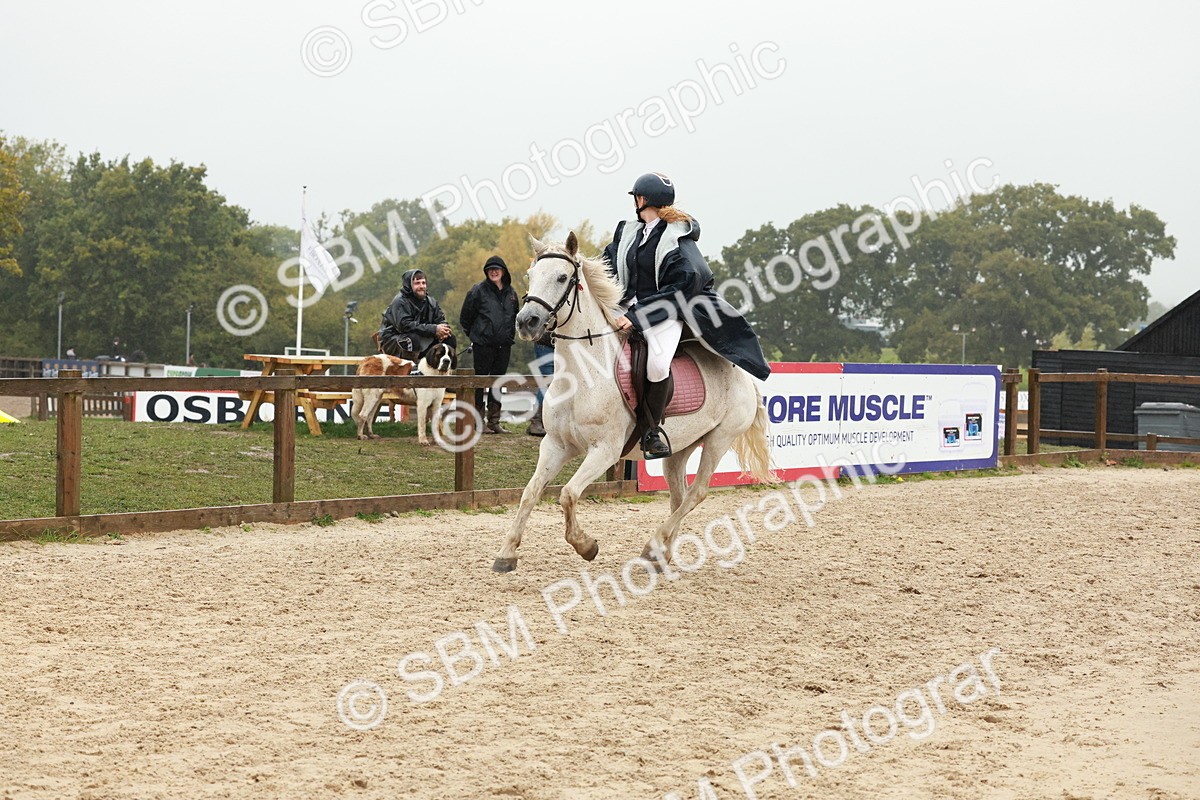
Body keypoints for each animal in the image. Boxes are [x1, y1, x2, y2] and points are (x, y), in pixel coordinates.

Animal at [491, 232, 775, 573]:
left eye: (561, 277)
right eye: (530, 276)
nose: (527, 322)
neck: (583, 372)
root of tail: (745, 378)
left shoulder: (605, 450)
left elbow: (568, 494)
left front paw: (586, 546)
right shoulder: (555, 445)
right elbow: (530, 493)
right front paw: (506, 554)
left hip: (720, 439)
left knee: (696, 493)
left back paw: (653, 546)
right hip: (679, 449)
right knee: (679, 496)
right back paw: (661, 553)